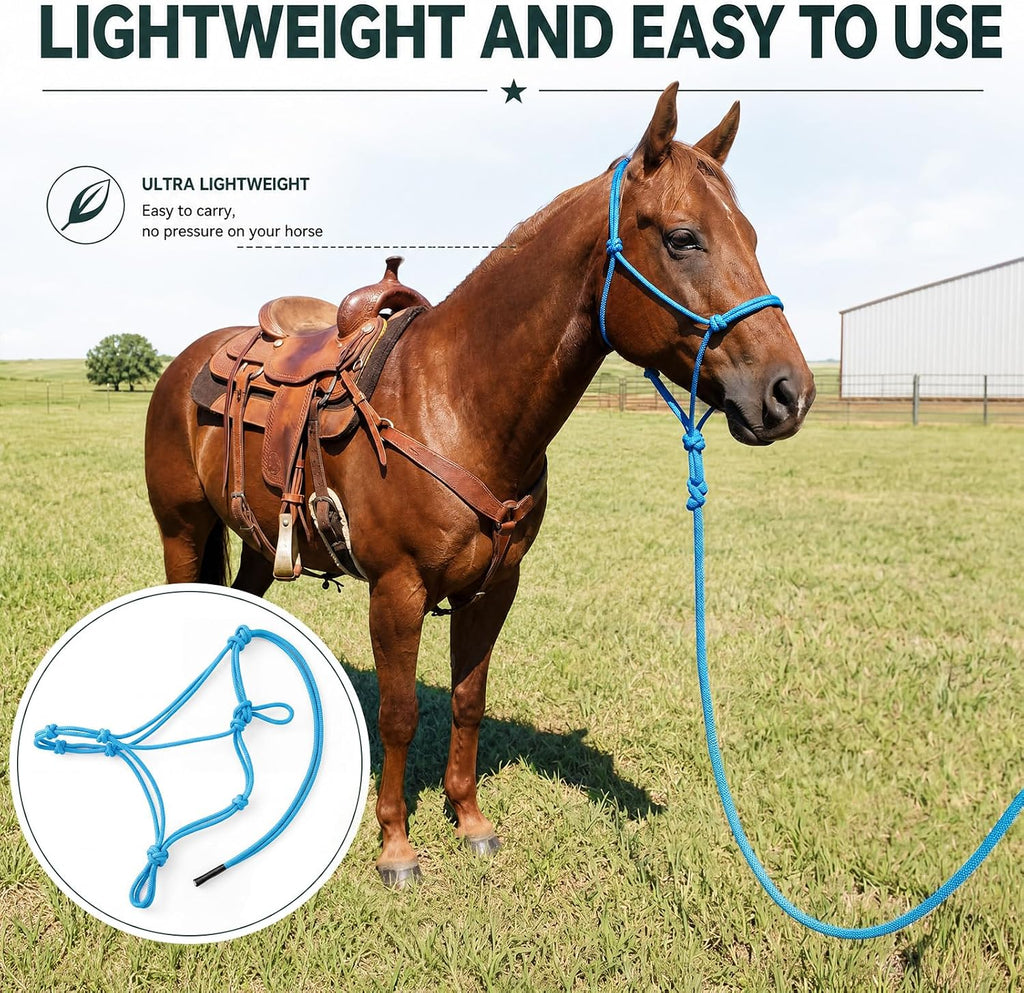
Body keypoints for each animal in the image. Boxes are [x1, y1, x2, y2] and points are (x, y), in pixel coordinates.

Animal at [145, 83, 815, 887]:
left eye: (752, 234)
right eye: (684, 238)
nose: (789, 392)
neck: (456, 403)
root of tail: (189, 361)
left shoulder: (496, 585)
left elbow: (469, 698)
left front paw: (469, 820)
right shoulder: (396, 590)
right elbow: (400, 712)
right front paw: (396, 846)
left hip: (252, 540)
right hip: (183, 530)